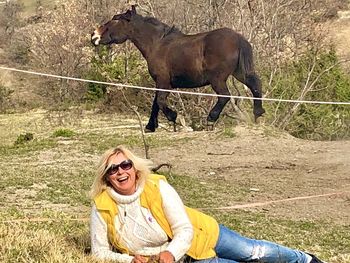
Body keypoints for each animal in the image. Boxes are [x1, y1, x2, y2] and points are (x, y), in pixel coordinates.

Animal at [91, 5, 264, 134]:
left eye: (115, 20)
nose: (94, 36)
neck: (157, 44)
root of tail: (237, 37)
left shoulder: (163, 81)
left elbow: (160, 102)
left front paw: (174, 117)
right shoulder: (161, 83)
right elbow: (156, 103)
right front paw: (150, 126)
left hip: (218, 79)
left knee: (224, 96)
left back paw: (210, 120)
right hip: (240, 73)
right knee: (255, 85)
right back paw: (258, 113)